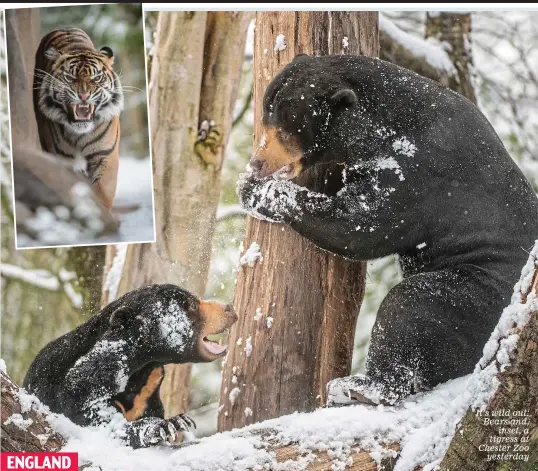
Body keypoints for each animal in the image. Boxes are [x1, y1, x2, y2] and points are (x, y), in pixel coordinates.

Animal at [22, 286, 237, 448]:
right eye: (192, 305)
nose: (230, 308)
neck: (143, 367)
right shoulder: (91, 374)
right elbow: (92, 413)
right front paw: (167, 425)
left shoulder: (149, 391)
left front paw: (176, 422)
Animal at [33, 26, 124, 209]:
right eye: (70, 77)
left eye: (96, 78)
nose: (83, 95)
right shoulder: (61, 159)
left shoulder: (105, 156)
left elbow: (102, 193)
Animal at [239, 55, 536, 408]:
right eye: (266, 118)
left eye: (287, 127)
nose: (256, 163)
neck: (379, 126)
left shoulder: (416, 170)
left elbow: (360, 225)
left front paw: (255, 191)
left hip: (482, 295)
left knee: (411, 304)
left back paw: (360, 387)